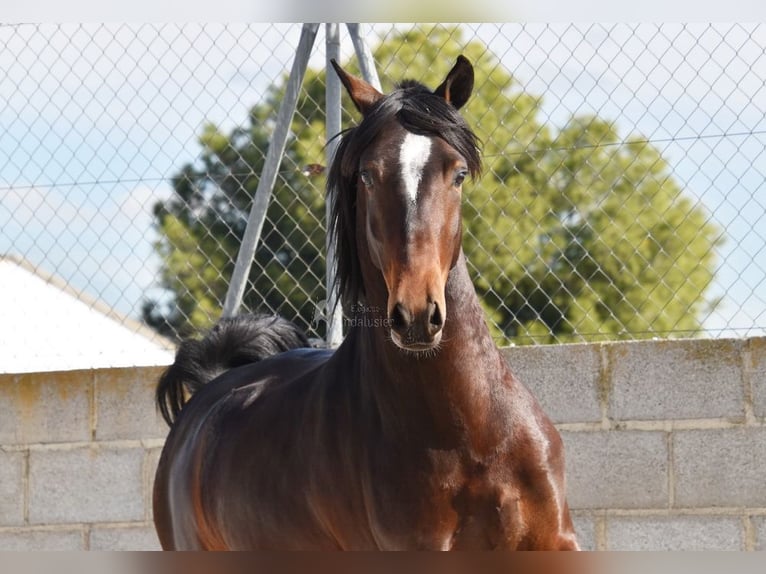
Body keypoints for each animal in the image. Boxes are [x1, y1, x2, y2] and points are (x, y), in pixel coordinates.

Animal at [153, 55, 580, 552]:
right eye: (367, 175)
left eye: (457, 173)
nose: (417, 316)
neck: (470, 435)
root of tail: (207, 393)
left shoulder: (555, 542)